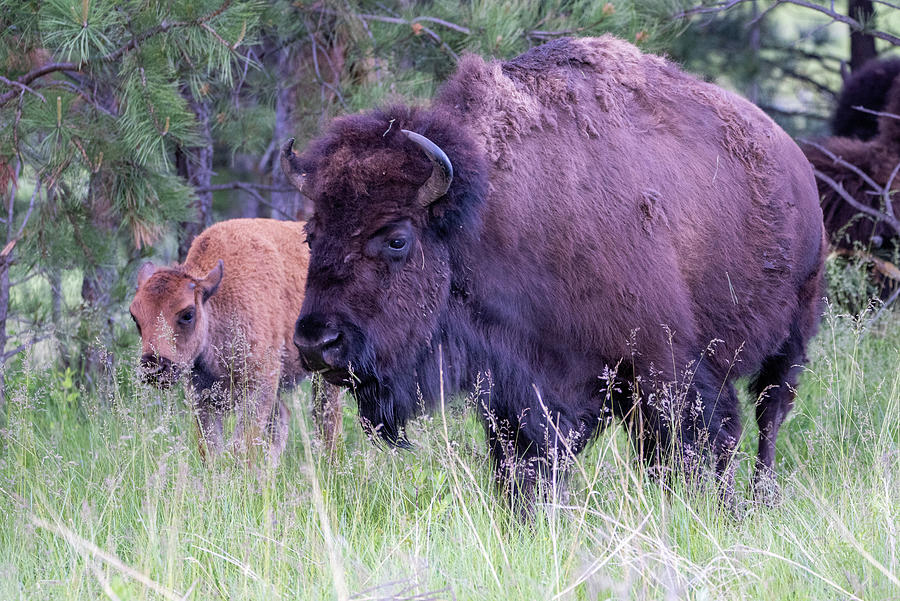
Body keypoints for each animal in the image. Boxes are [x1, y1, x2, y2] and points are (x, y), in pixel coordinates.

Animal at [283, 37, 826, 505]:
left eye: (397, 238)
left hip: (792, 336)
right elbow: (526, 460)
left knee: (768, 417)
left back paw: (760, 497)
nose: (316, 342)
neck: (493, 215)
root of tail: (793, 160)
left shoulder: (667, 369)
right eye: (311, 234)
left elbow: (695, 443)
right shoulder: (521, 387)